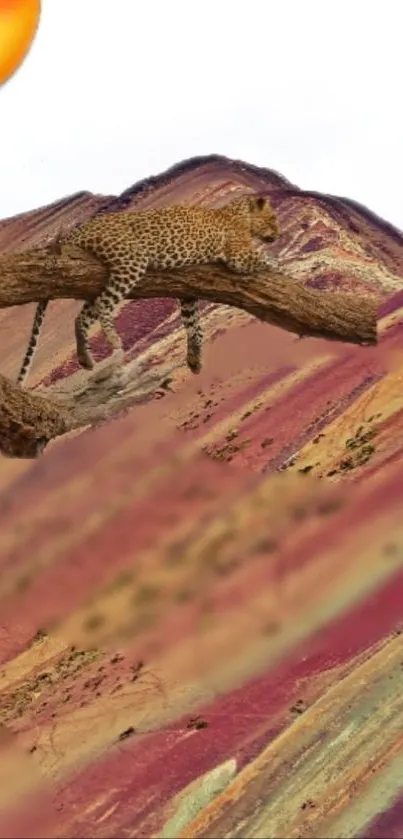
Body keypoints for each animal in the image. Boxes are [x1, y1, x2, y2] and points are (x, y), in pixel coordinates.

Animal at [16, 194, 280, 388]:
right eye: (272, 219)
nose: (277, 235)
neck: (239, 215)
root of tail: (81, 228)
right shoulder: (239, 257)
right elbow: (265, 259)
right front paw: (280, 266)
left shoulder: (189, 292)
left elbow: (194, 325)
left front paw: (194, 359)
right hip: (132, 261)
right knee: (103, 305)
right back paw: (114, 339)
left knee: (82, 316)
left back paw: (85, 358)